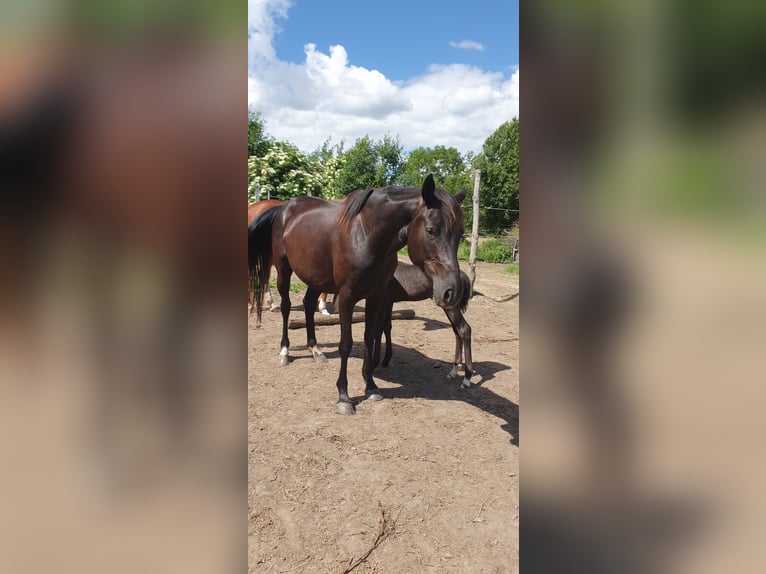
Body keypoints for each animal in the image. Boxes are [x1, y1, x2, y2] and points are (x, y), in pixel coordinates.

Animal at [249, 175, 466, 415]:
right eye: (430, 230)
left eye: (460, 234)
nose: (453, 291)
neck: (366, 235)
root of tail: (283, 208)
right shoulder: (347, 297)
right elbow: (346, 343)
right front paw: (343, 397)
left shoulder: (376, 296)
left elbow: (370, 337)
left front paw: (370, 386)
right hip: (283, 270)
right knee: (286, 307)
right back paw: (284, 352)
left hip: (316, 277)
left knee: (307, 305)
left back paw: (316, 350)